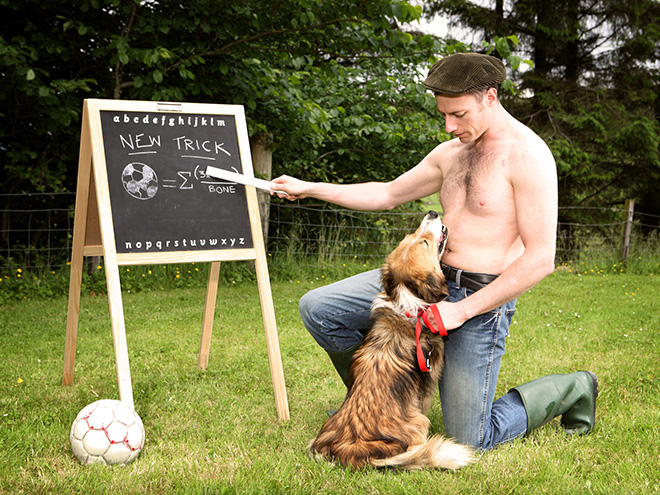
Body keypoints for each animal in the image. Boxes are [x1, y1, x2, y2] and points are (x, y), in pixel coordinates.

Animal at [310, 211, 474, 470]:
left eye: (412, 237)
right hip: (418, 422)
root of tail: (349, 452)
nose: (432, 213)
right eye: (423, 242)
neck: (408, 304)